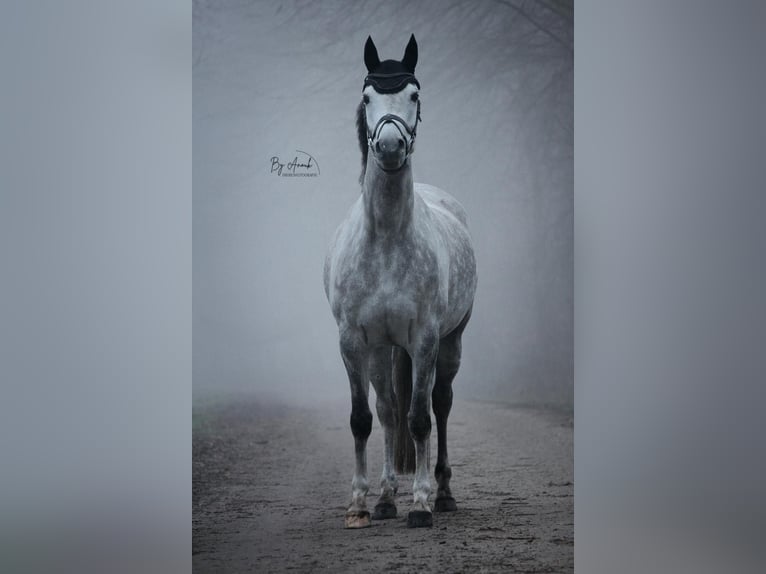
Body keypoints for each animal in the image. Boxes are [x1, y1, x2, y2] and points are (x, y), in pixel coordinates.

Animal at [323, 34, 477, 529]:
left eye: (414, 95)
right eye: (368, 96)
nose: (390, 146)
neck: (389, 239)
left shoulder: (425, 338)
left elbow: (421, 419)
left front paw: (422, 502)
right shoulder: (353, 341)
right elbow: (365, 418)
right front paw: (360, 504)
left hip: (451, 341)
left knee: (440, 403)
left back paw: (442, 491)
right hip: (380, 350)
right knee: (389, 410)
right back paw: (388, 496)